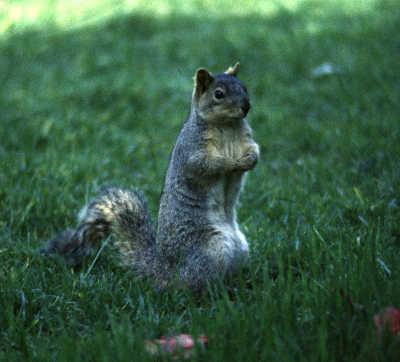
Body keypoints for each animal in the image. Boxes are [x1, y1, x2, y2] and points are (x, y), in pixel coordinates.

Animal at [40, 63, 260, 292]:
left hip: (240, 248)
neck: (228, 125)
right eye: (219, 94)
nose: (246, 107)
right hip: (212, 251)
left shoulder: (247, 139)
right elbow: (203, 165)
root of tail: (164, 270)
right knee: (194, 283)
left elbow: (255, 150)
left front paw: (250, 160)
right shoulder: (192, 148)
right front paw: (231, 163)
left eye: (244, 87)